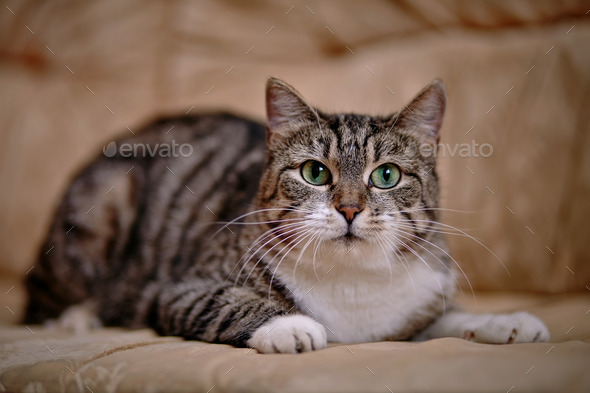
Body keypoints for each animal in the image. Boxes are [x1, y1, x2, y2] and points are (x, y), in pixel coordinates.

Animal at [23, 76, 552, 352]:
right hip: (108, 201)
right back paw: (76, 319)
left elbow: (447, 318)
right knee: (40, 301)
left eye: (386, 176)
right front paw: (289, 325)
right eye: (315, 172)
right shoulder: (177, 289)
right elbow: (225, 301)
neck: (353, 284)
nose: (349, 208)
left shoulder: (418, 305)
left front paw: (505, 322)